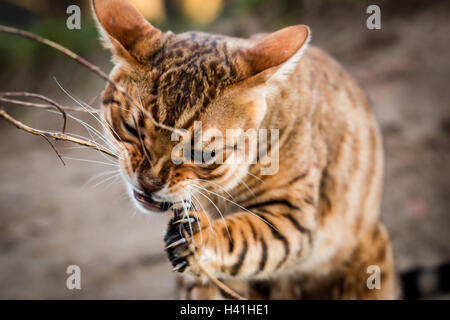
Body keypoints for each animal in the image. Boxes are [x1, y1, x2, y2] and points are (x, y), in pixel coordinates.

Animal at [93, 0, 396, 300]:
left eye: (202, 153)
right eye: (132, 128)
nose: (149, 182)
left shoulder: (293, 214)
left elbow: (245, 235)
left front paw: (201, 236)